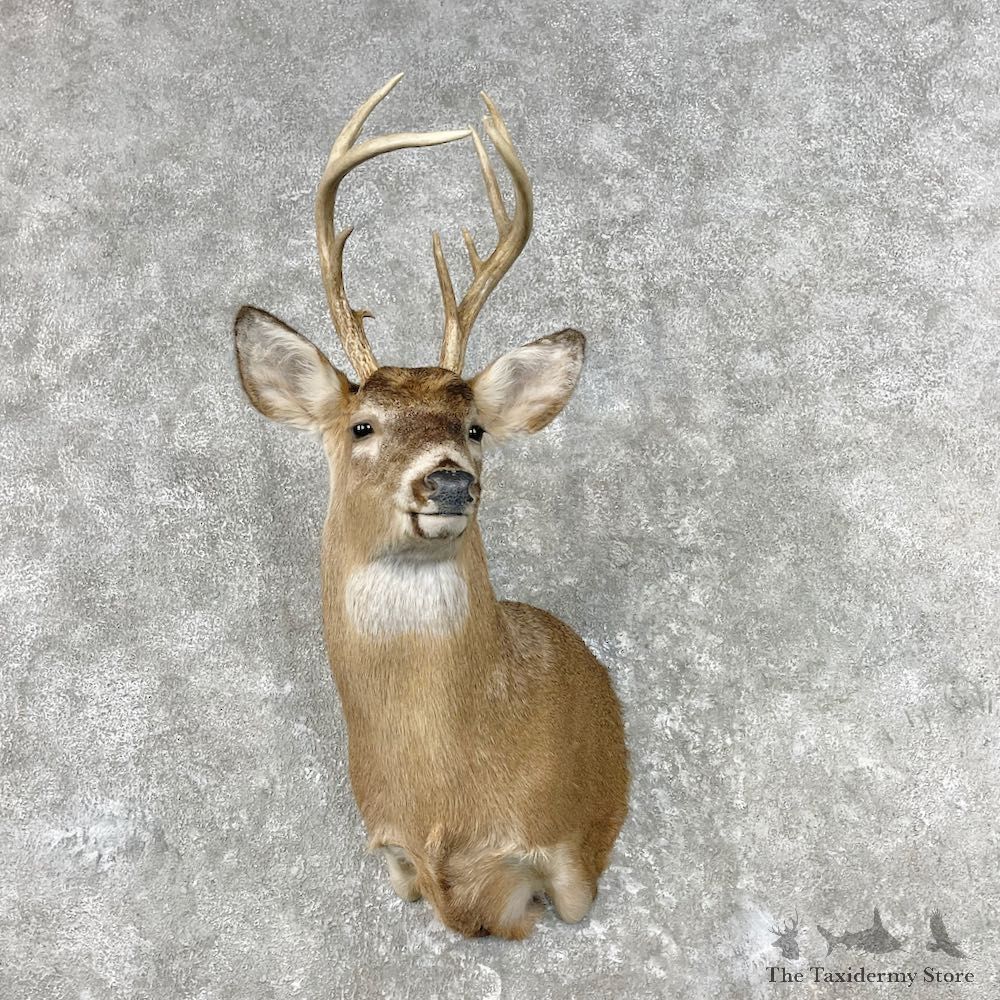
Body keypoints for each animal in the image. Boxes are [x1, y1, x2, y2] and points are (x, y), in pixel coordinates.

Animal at [233, 74, 629, 939]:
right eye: (362, 425)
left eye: (474, 427)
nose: (449, 481)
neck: (444, 803)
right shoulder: (387, 849)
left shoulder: (569, 857)